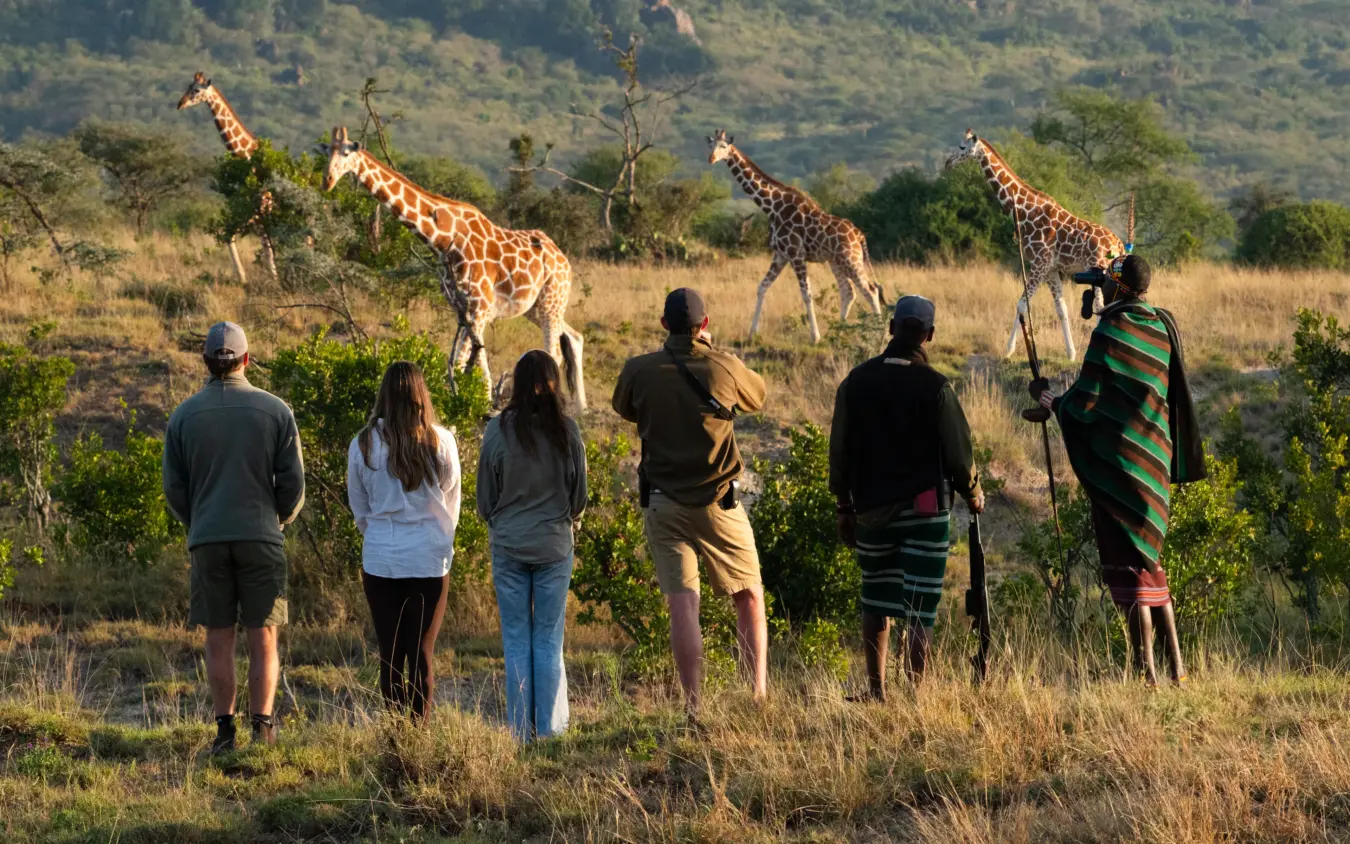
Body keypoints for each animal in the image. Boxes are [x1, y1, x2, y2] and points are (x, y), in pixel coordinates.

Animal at [176, 72, 278, 283]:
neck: (248, 158)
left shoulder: (261, 209)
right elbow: (230, 233)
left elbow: (266, 244)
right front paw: (243, 277)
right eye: (188, 86)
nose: (179, 104)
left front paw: (272, 278)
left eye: (196, 90)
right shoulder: (248, 209)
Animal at [322, 127, 586, 409]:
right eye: (327, 151)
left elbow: (476, 363)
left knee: (554, 352)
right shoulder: (462, 309)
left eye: (346, 152)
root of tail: (563, 259)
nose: (327, 180)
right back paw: (582, 407)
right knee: (575, 337)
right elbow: (461, 363)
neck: (443, 240)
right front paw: (461, 404)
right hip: (537, 307)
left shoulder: (480, 309)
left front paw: (479, 407)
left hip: (550, 301)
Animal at [707, 130, 883, 344]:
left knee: (871, 290)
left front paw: (815, 337)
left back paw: (878, 336)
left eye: (724, 146)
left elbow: (807, 293)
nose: (711, 159)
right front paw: (752, 334)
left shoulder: (796, 254)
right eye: (711, 145)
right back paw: (837, 334)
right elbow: (762, 287)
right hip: (836, 261)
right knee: (848, 292)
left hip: (851, 259)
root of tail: (859, 235)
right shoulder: (780, 255)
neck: (772, 206)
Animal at [945, 129, 1125, 362]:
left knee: (1100, 306)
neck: (1024, 210)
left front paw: (1008, 350)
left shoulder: (1039, 264)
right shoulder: (1050, 269)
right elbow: (1061, 309)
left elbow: (1021, 304)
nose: (948, 163)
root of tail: (1119, 243)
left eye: (962, 147)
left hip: (1097, 269)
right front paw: (1071, 354)